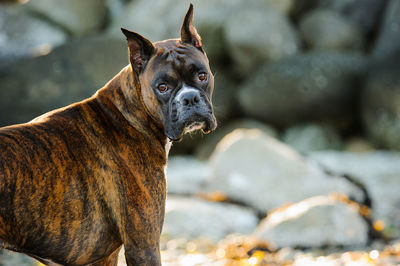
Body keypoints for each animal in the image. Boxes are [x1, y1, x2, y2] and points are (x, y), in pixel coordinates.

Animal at [0, 4, 216, 266]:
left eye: (202, 76)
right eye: (162, 87)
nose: (189, 98)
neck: (129, 115)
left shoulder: (106, 256)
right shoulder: (143, 247)